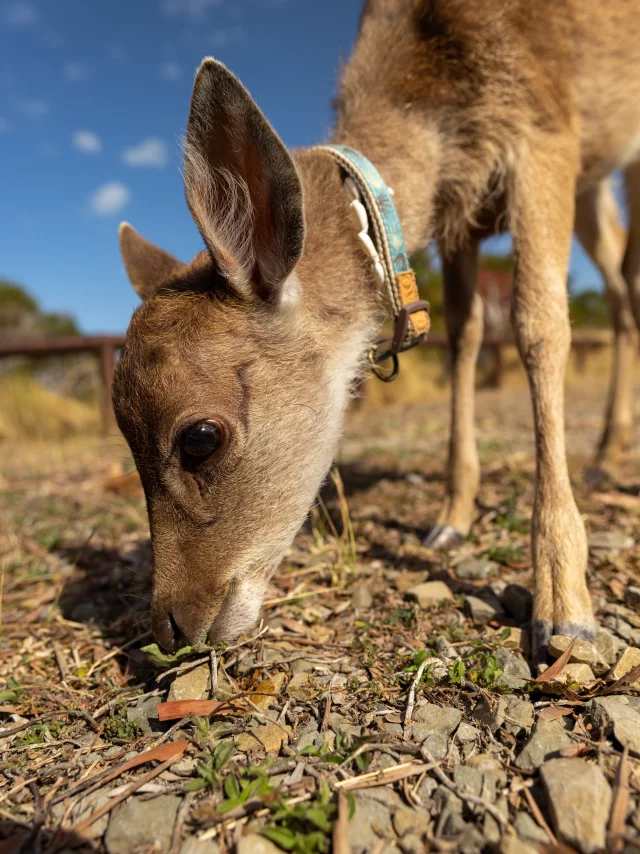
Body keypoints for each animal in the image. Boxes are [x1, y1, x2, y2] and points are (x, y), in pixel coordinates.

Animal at [115, 0, 640, 664]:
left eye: (200, 437)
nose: (170, 628)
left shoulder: (548, 129)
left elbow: (539, 322)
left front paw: (565, 610)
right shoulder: (462, 222)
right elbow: (464, 333)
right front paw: (450, 519)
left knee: (624, 280)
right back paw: (606, 451)